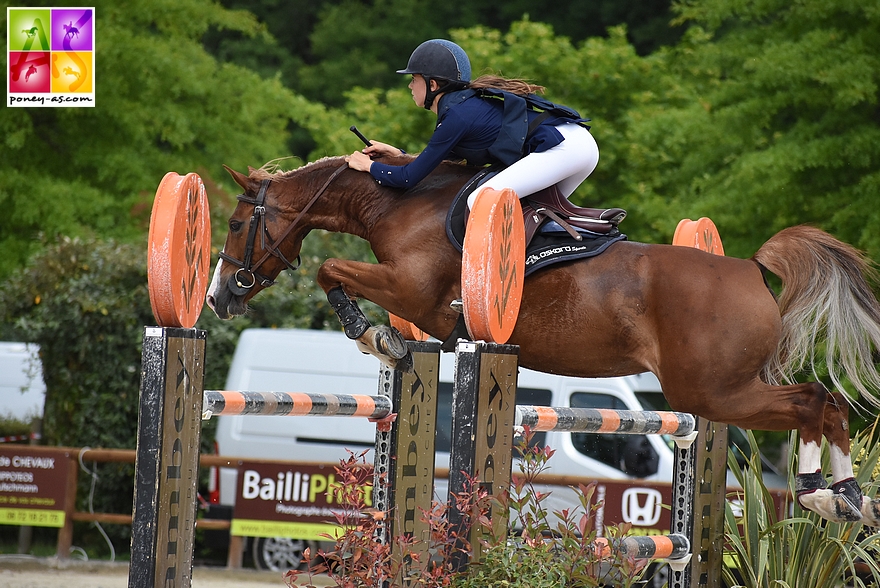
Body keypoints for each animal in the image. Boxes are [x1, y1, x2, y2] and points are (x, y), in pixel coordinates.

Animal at [208, 154, 880, 524]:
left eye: (238, 224)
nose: (219, 297)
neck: (399, 204)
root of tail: (749, 268)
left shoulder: (411, 293)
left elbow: (331, 271)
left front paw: (371, 335)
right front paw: (383, 339)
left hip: (712, 392)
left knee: (814, 403)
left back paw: (823, 496)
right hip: (725, 388)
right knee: (827, 404)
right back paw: (845, 496)